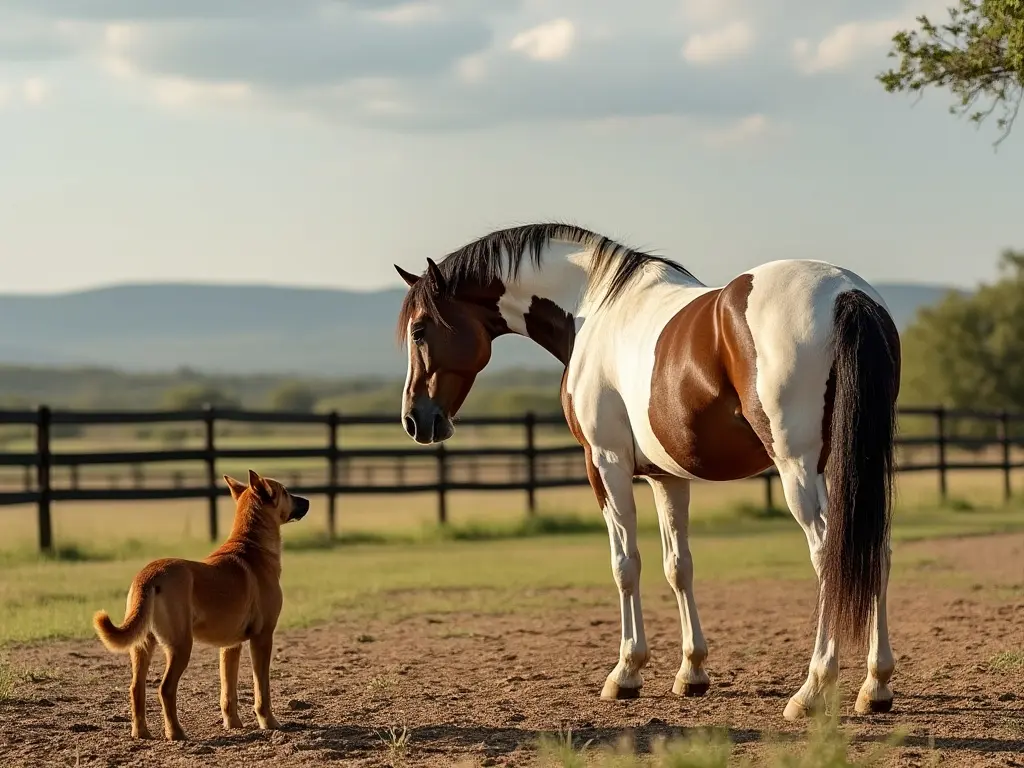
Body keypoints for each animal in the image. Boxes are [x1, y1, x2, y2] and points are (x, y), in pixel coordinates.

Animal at [91, 468, 307, 741]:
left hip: (142, 646)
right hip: (181, 645)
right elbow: (262, 688)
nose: (307, 501)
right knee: (165, 689)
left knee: (136, 688)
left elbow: (228, 690)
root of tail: (150, 576)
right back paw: (175, 732)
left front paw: (233, 723)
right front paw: (268, 722)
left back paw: (141, 732)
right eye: (286, 492)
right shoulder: (262, 638)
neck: (251, 546)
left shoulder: (231, 646)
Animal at [395, 222, 901, 720]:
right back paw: (874, 686)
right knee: (873, 550)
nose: (415, 420)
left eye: (420, 330)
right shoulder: (667, 477)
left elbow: (626, 564)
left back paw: (812, 689)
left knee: (829, 554)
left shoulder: (605, 463)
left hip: (797, 466)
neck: (592, 307)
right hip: (850, 466)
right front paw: (691, 672)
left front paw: (625, 673)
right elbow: (678, 565)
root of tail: (845, 293)